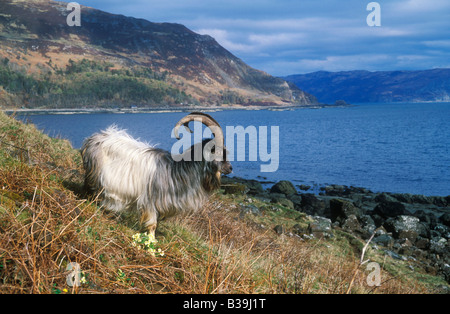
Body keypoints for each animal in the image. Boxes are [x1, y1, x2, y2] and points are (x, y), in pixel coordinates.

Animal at [81, 111, 234, 237]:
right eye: (219, 153)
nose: (230, 168)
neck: (177, 170)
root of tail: (93, 139)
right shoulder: (150, 201)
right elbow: (152, 225)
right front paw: (151, 243)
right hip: (95, 174)